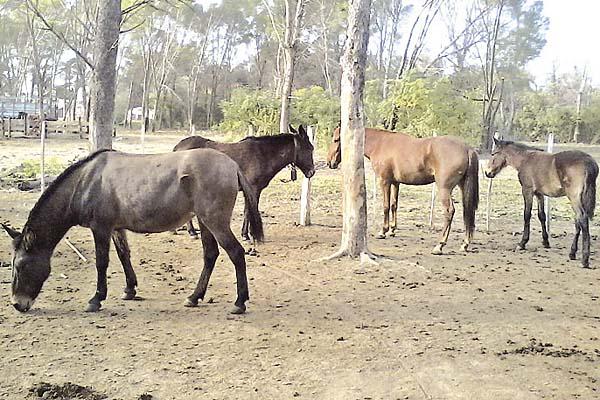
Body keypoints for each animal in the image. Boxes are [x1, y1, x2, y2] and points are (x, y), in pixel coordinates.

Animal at [1, 148, 262, 314]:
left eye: (21, 266)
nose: (17, 304)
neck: (86, 181)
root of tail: (232, 165)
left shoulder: (101, 228)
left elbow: (102, 262)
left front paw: (96, 299)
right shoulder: (116, 228)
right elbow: (123, 255)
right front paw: (129, 289)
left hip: (215, 221)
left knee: (236, 253)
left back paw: (239, 302)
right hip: (205, 222)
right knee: (210, 255)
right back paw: (194, 297)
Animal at [173, 123, 316, 239]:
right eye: (310, 148)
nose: (311, 172)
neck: (263, 155)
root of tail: (177, 147)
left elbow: (247, 210)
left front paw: (245, 233)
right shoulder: (253, 189)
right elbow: (249, 210)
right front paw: (248, 235)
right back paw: (192, 232)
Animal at [326, 126, 480, 255]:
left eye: (336, 139)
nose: (329, 163)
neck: (380, 144)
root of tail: (467, 148)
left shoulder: (385, 181)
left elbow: (386, 206)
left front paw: (383, 231)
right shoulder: (396, 183)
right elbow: (394, 205)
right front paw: (392, 230)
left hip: (444, 189)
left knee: (449, 211)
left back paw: (440, 245)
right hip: (462, 186)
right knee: (468, 211)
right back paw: (465, 244)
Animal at [486, 138, 596, 268]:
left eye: (493, 154)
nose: (487, 173)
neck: (525, 159)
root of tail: (590, 163)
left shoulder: (527, 191)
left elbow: (527, 215)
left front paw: (522, 243)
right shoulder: (539, 194)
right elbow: (542, 215)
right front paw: (545, 241)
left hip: (574, 197)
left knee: (582, 219)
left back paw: (584, 260)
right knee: (578, 221)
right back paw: (572, 253)